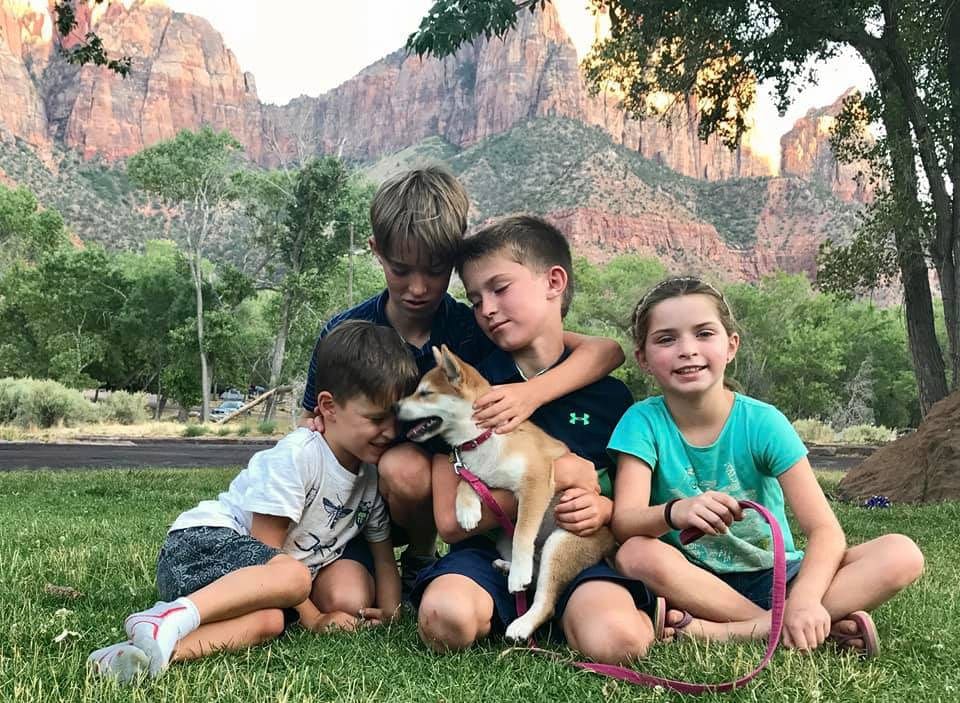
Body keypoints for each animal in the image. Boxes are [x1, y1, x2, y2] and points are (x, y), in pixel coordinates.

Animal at [396, 346, 616, 644]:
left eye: (425, 393)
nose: (395, 407)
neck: (482, 438)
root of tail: (611, 541)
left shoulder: (536, 481)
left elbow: (523, 532)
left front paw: (518, 572)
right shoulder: (472, 471)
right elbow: (465, 482)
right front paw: (467, 510)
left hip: (561, 543)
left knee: (544, 598)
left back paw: (521, 620)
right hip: (504, 537)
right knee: (534, 574)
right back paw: (506, 567)